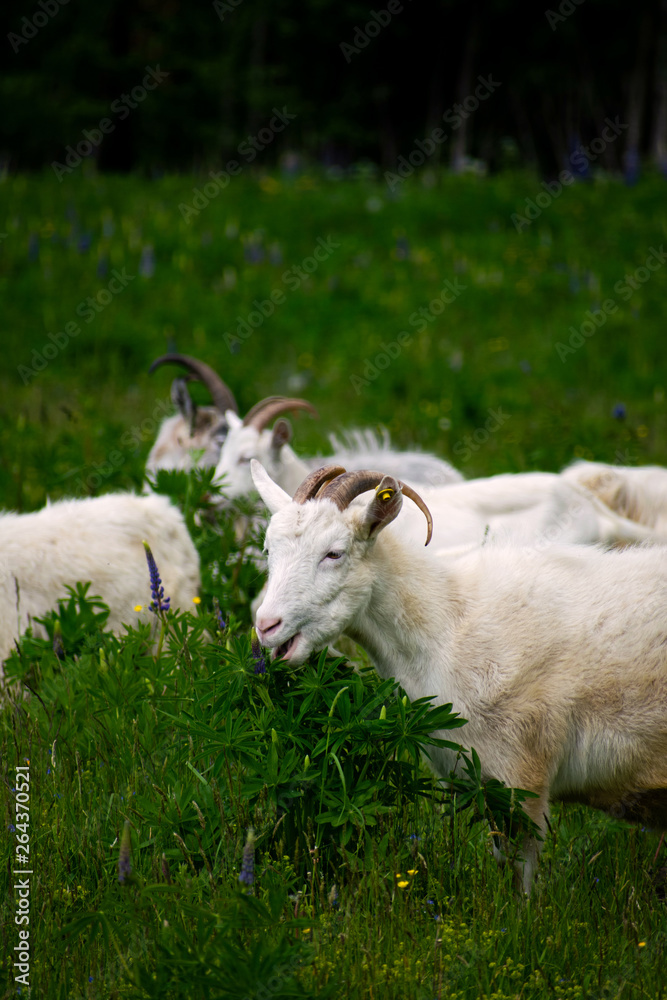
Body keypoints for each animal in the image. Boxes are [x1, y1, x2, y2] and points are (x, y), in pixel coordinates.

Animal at [251, 462, 667, 891]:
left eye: (334, 553)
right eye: (269, 550)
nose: (266, 626)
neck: (447, 622)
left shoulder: (523, 778)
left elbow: (523, 872)